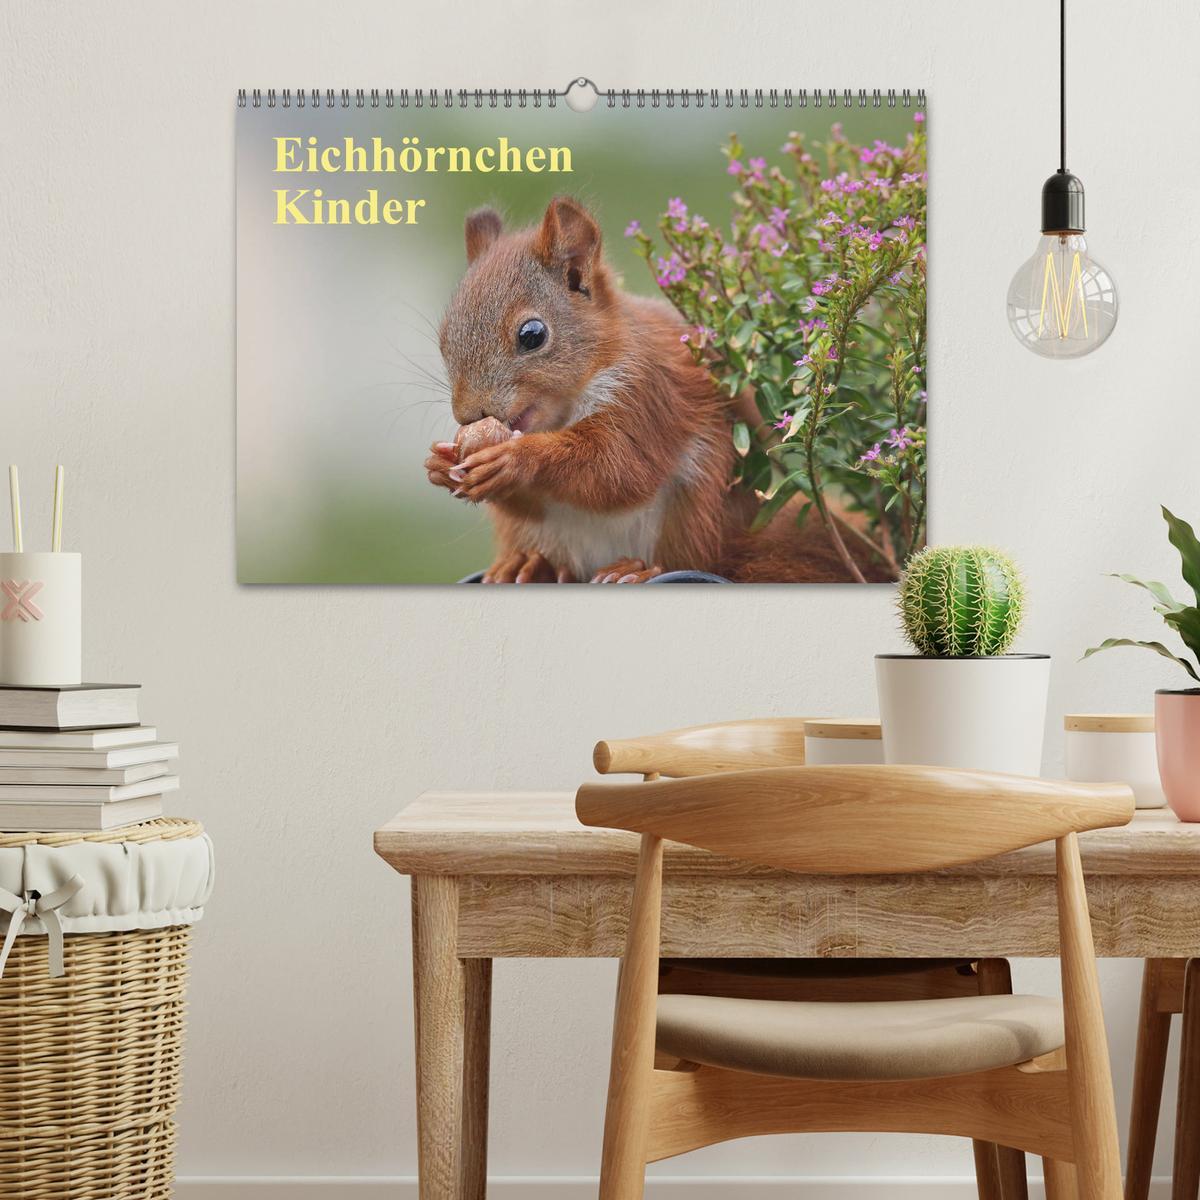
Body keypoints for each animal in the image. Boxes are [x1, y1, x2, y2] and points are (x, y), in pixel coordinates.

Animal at [425, 196, 891, 583]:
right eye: (444, 338)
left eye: (533, 335)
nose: (469, 415)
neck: (566, 406)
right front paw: (439, 466)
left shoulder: (648, 394)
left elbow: (617, 469)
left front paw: (517, 457)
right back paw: (530, 563)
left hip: (696, 509)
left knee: (689, 559)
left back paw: (638, 570)